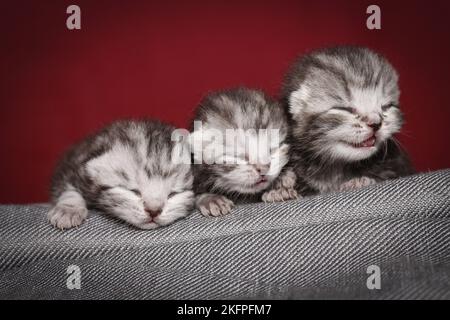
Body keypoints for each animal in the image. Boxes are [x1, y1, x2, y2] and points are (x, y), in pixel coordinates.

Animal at [48, 120, 194, 230]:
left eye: (173, 194)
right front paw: (68, 211)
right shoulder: (72, 164)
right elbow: (68, 189)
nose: (153, 211)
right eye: (133, 191)